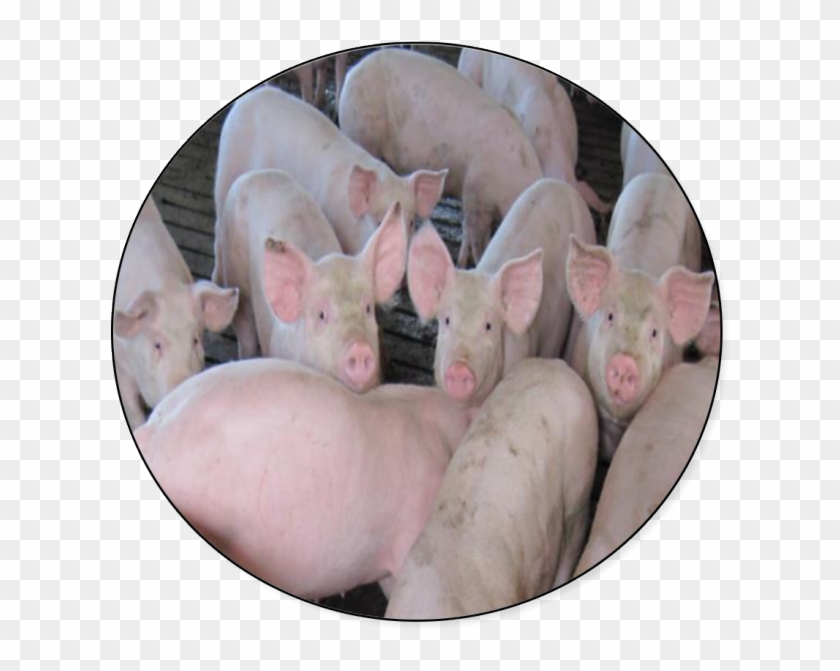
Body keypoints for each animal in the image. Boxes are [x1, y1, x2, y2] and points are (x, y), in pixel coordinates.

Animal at [338, 48, 544, 268]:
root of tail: (353, 72)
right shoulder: (477, 194)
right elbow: (478, 240)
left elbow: (466, 228)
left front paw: (461, 262)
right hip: (359, 131)